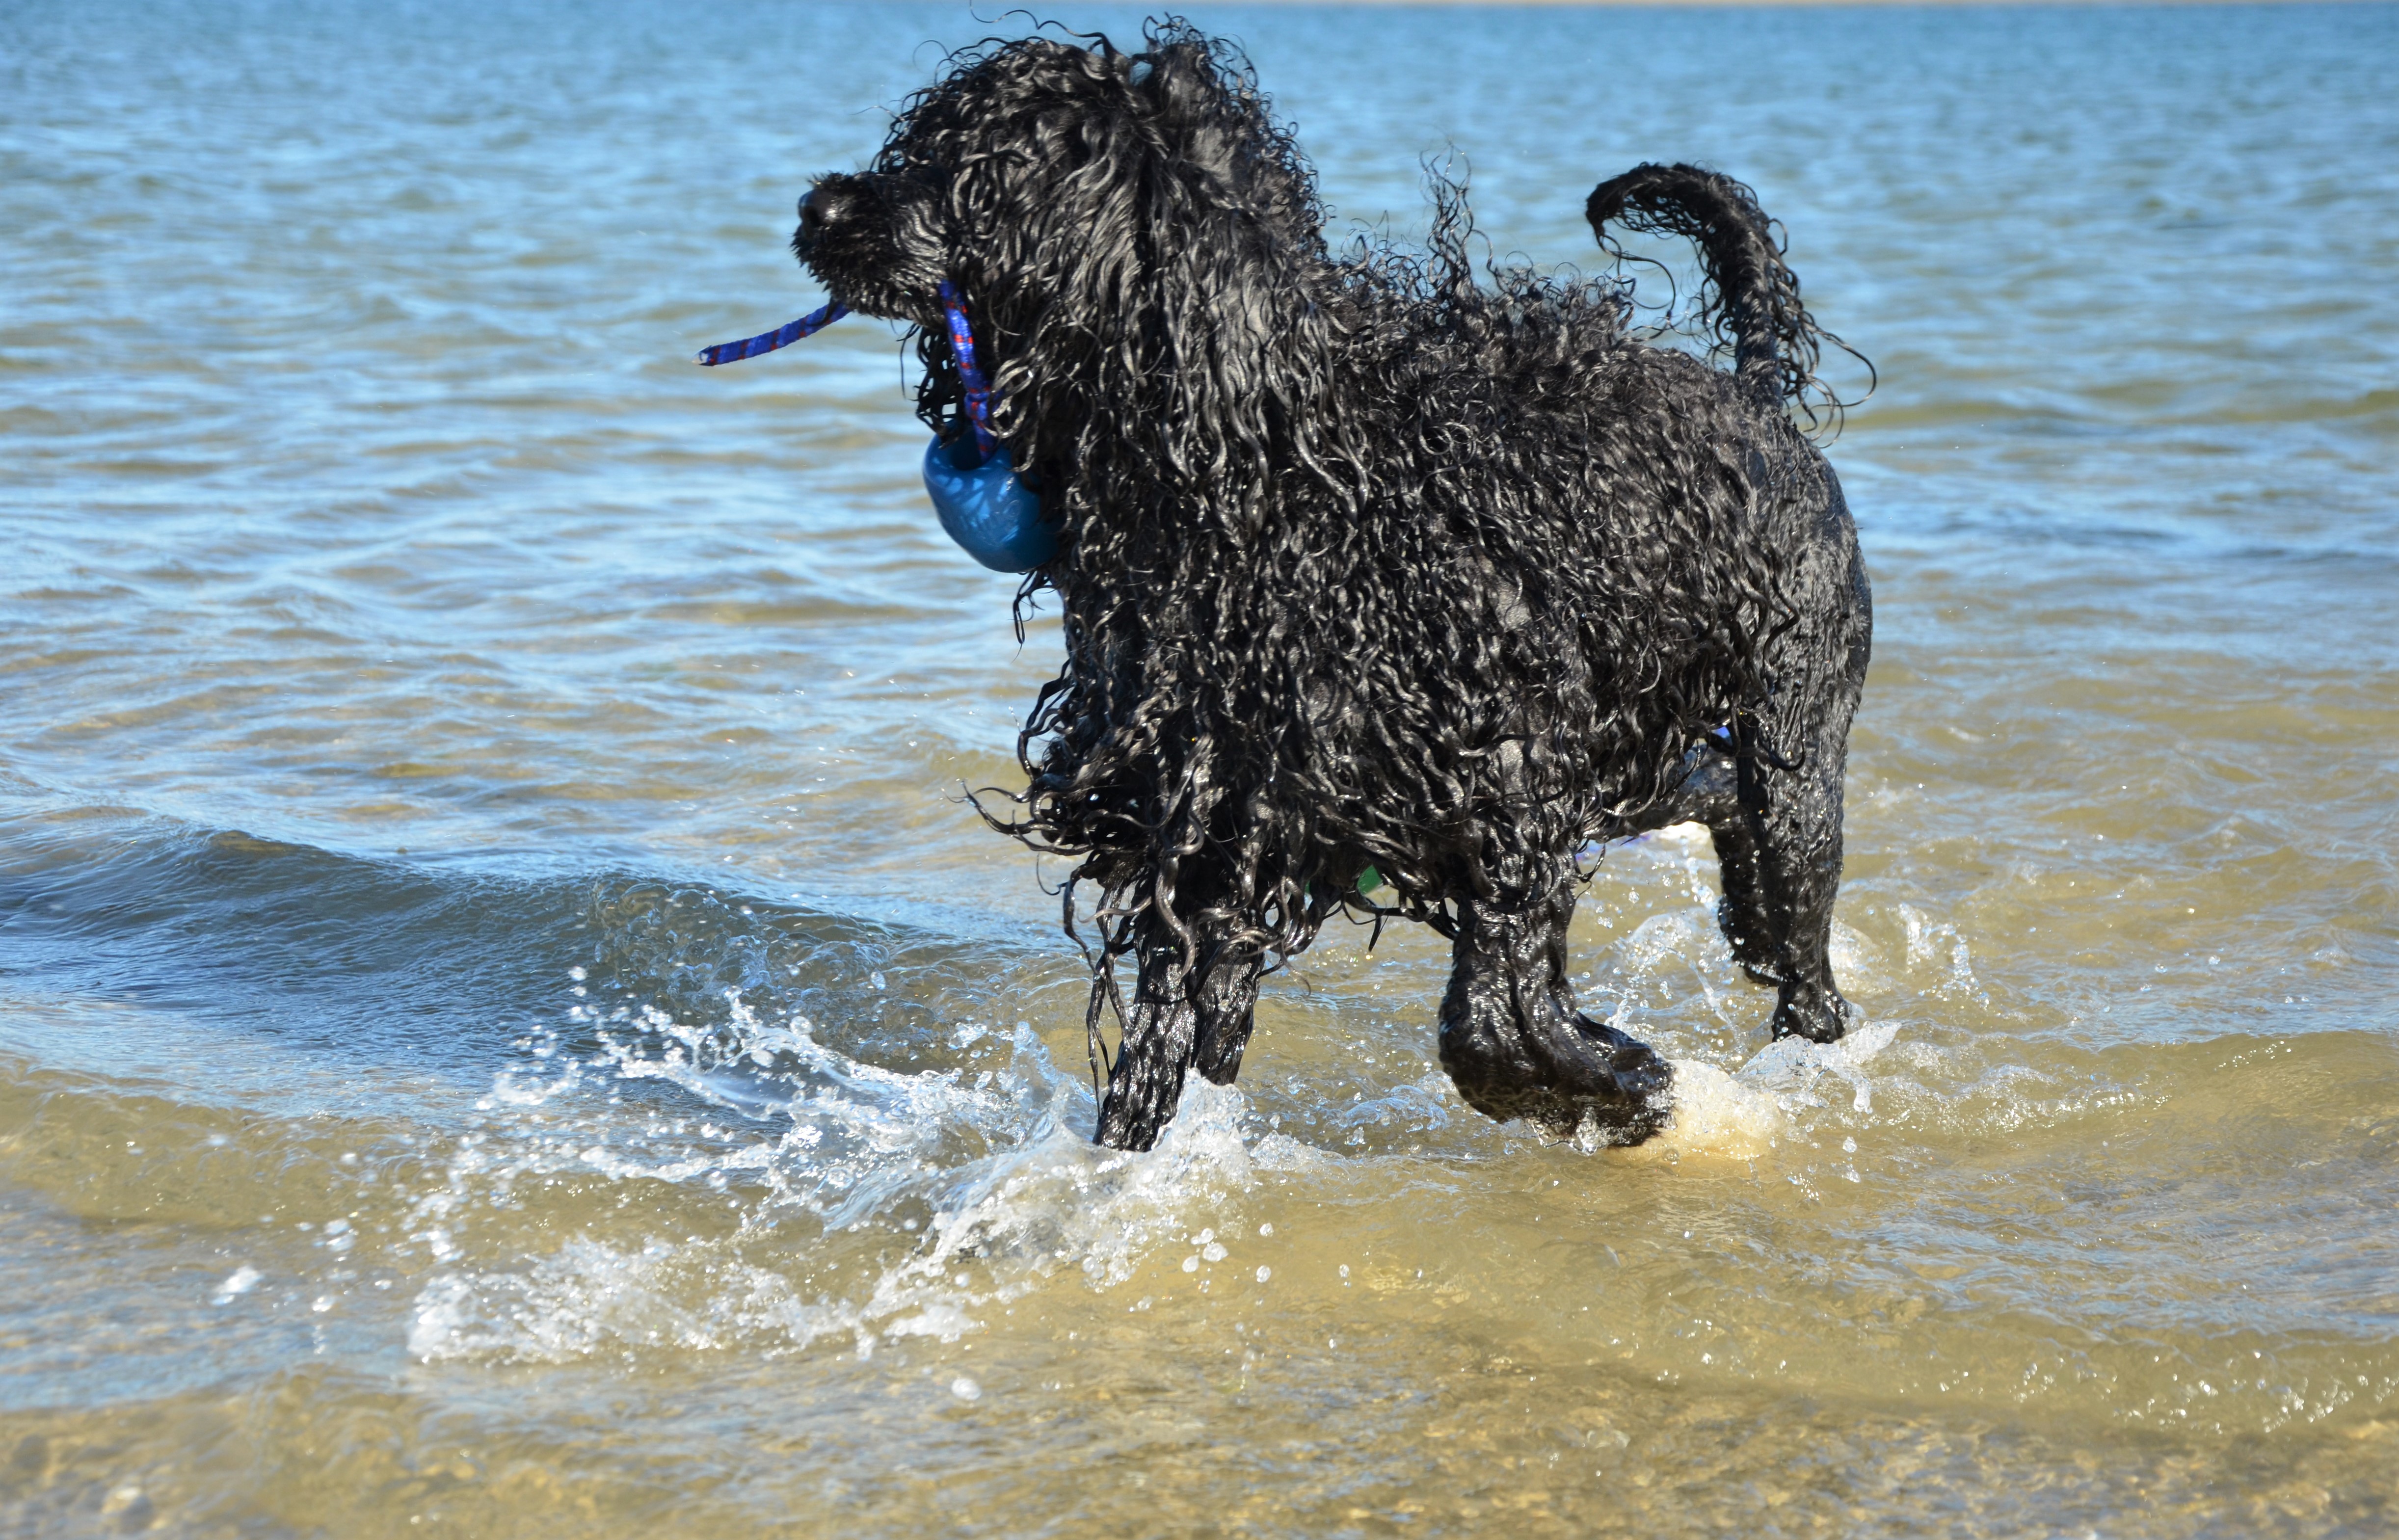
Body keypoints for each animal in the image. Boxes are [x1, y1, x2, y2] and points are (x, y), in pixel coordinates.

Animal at [792, 21, 1871, 1151]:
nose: (815, 208)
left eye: (976, 173)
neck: (1266, 466)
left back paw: (1801, 1026)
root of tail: (1754, 396)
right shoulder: (1217, 817)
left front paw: (1623, 1084)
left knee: (1796, 926)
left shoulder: (1511, 781)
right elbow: (1166, 1050)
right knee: (1710, 787)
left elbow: (1488, 1025)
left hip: (1795, 735)